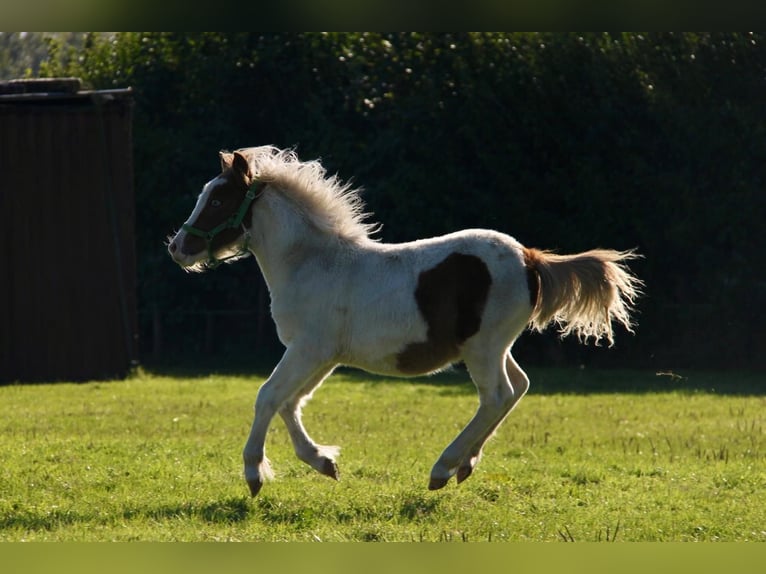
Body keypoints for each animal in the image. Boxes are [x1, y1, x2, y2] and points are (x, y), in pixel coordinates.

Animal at [168, 146, 640, 498]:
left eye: (218, 199)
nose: (178, 248)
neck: (312, 262)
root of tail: (529, 258)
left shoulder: (307, 349)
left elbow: (267, 396)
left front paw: (254, 474)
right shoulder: (322, 356)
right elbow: (290, 402)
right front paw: (324, 462)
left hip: (483, 348)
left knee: (497, 395)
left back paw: (443, 468)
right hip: (493, 346)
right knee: (517, 388)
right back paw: (465, 464)